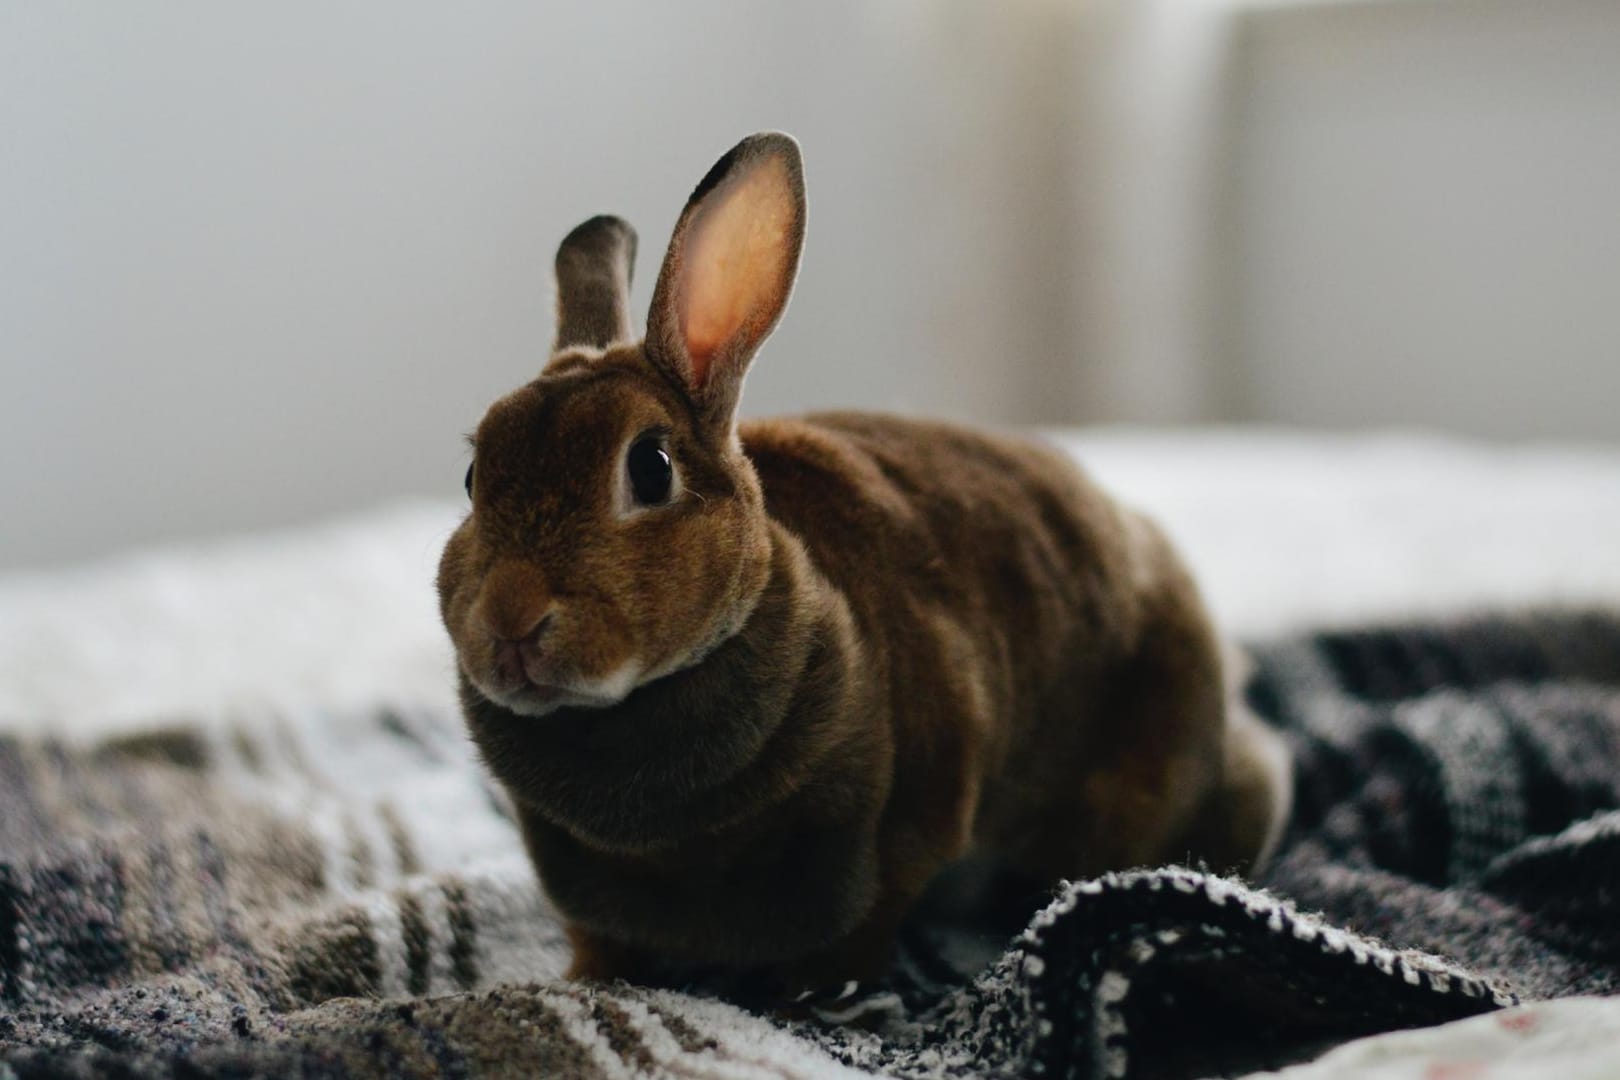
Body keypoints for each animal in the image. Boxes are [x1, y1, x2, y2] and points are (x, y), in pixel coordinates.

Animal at [437, 131, 1296, 1003]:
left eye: (649, 468)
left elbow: (866, 920)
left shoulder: (910, 817)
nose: (510, 621)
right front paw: (585, 981)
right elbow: (599, 939)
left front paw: (822, 997)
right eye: (474, 478)